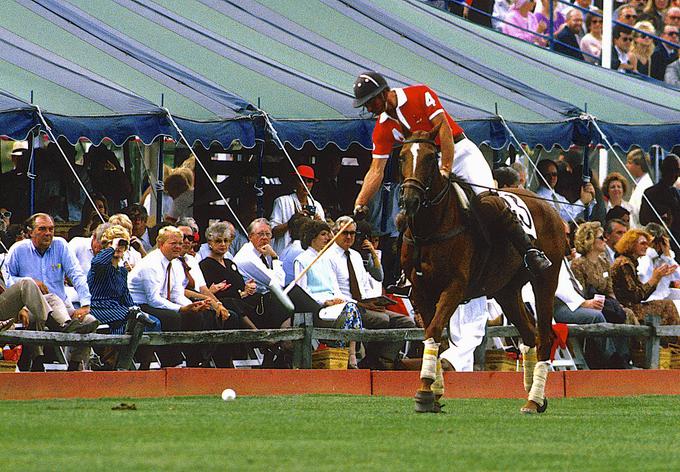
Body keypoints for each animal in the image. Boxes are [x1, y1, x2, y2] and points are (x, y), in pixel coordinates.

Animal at [398, 128, 564, 412]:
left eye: (430, 158)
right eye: (402, 157)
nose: (410, 200)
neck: (430, 229)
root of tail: (550, 209)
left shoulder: (455, 286)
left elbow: (434, 330)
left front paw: (424, 392)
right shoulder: (420, 290)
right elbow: (435, 335)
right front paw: (433, 393)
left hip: (545, 280)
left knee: (544, 337)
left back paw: (533, 400)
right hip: (506, 290)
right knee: (529, 334)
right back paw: (534, 395)